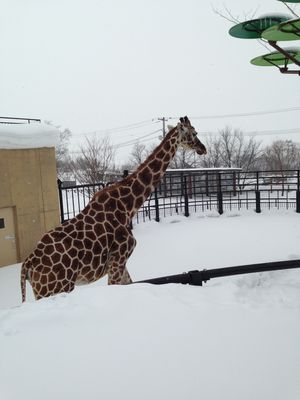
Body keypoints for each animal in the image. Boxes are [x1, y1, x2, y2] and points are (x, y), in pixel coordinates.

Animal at [20, 117, 206, 302]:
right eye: (194, 133)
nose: (203, 148)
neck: (128, 205)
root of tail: (28, 264)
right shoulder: (118, 259)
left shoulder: (121, 263)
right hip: (55, 288)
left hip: (44, 290)